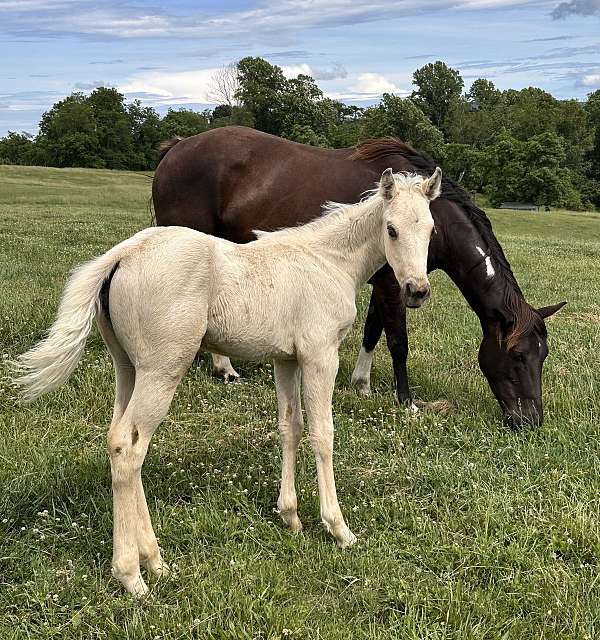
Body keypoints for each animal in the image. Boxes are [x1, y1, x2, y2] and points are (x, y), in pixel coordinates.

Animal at [13, 169, 439, 597]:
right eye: (391, 229)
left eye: (431, 229)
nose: (417, 291)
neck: (327, 263)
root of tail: (124, 254)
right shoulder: (320, 355)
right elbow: (323, 433)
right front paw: (338, 529)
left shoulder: (286, 359)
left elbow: (291, 427)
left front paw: (290, 517)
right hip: (161, 370)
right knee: (127, 446)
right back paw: (132, 575)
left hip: (128, 368)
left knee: (121, 440)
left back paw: (155, 561)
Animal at [152, 127, 565, 428]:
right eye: (517, 355)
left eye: (543, 354)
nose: (531, 421)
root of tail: (178, 146)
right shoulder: (393, 285)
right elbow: (397, 341)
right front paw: (406, 401)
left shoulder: (387, 282)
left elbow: (372, 330)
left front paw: (361, 384)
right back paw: (223, 368)